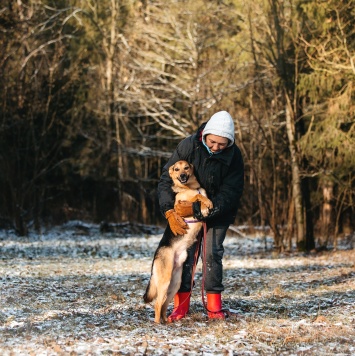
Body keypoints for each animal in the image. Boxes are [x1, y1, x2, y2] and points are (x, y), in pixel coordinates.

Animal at [143, 161, 213, 322]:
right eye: (176, 169)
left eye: (186, 168)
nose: (182, 176)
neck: (189, 187)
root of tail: (155, 258)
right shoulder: (181, 203)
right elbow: (198, 197)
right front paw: (205, 205)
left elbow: (201, 195)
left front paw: (206, 205)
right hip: (165, 280)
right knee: (157, 304)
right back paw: (157, 324)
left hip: (174, 284)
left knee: (163, 304)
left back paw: (166, 322)